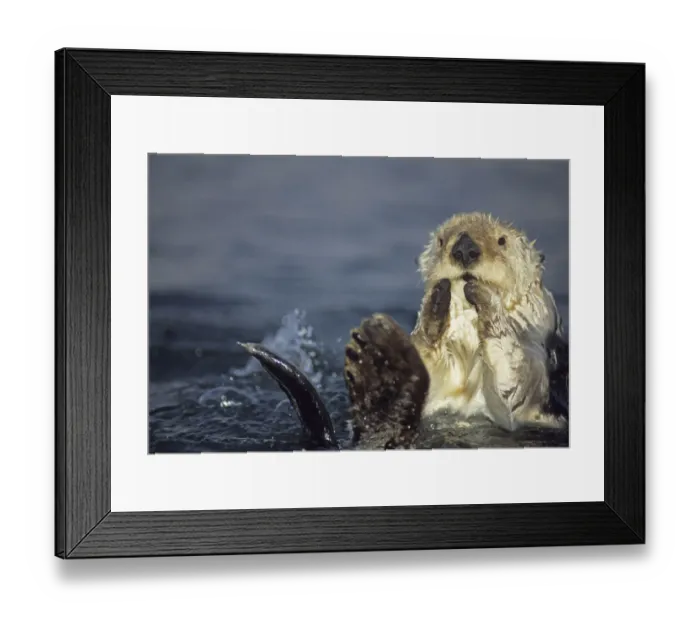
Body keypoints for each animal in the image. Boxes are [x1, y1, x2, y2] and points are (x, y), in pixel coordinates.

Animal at [240, 212, 568, 451]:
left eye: (502, 240)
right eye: (441, 240)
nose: (464, 247)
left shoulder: (536, 369)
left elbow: (514, 379)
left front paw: (487, 301)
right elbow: (426, 353)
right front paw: (434, 305)